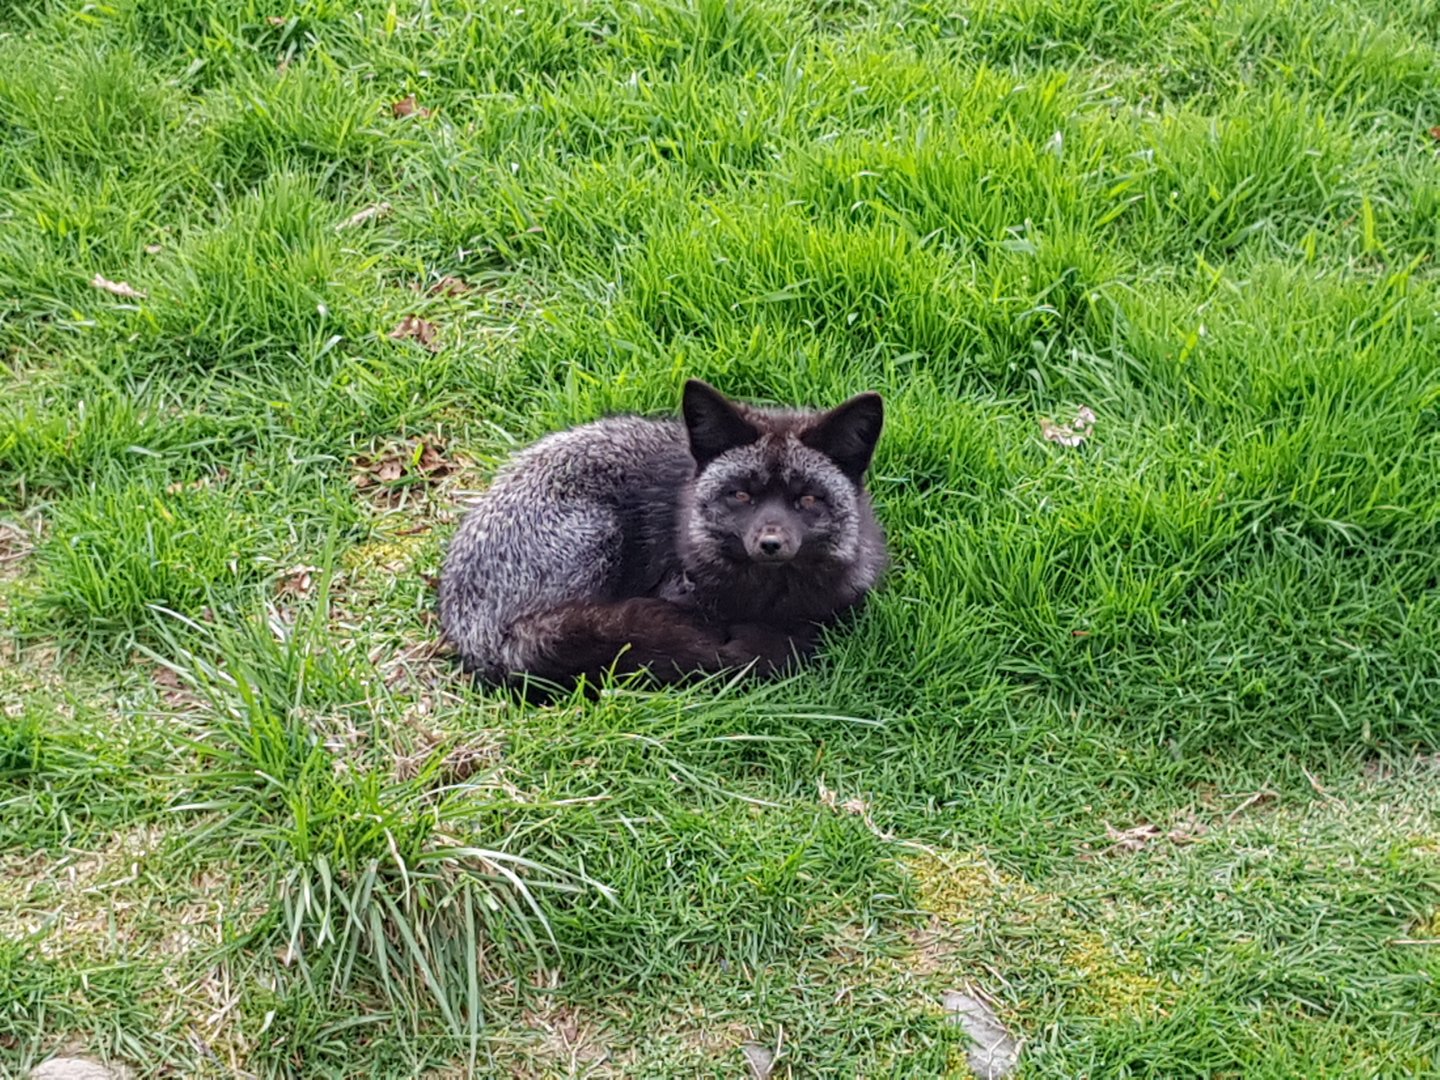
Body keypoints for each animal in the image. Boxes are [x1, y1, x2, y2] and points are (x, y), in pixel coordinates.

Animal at [437, 379, 886, 693]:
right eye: (741, 495)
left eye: (807, 499)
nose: (771, 544)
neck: (765, 600)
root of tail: (472, 629)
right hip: (599, 535)